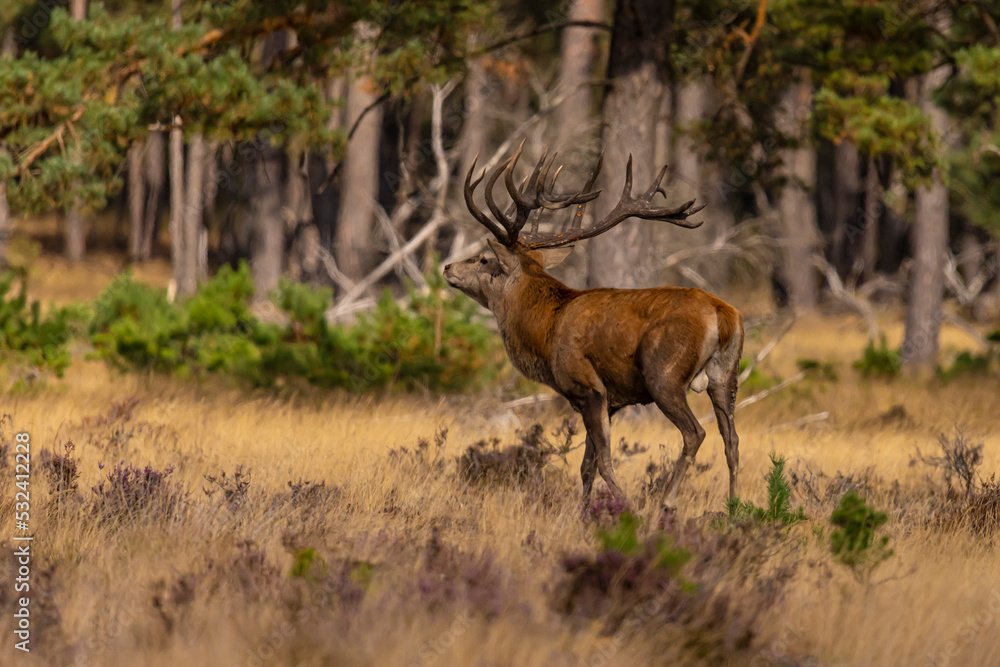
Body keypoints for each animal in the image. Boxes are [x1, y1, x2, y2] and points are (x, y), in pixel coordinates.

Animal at [443, 143, 744, 510]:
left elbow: (603, 462)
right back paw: (733, 507)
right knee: (732, 440)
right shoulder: (609, 400)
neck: (545, 332)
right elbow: (587, 465)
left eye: (484, 260)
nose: (448, 267)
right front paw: (582, 511)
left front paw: (624, 507)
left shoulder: (588, 388)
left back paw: (665, 503)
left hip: (664, 373)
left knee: (695, 433)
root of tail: (723, 314)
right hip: (726, 376)